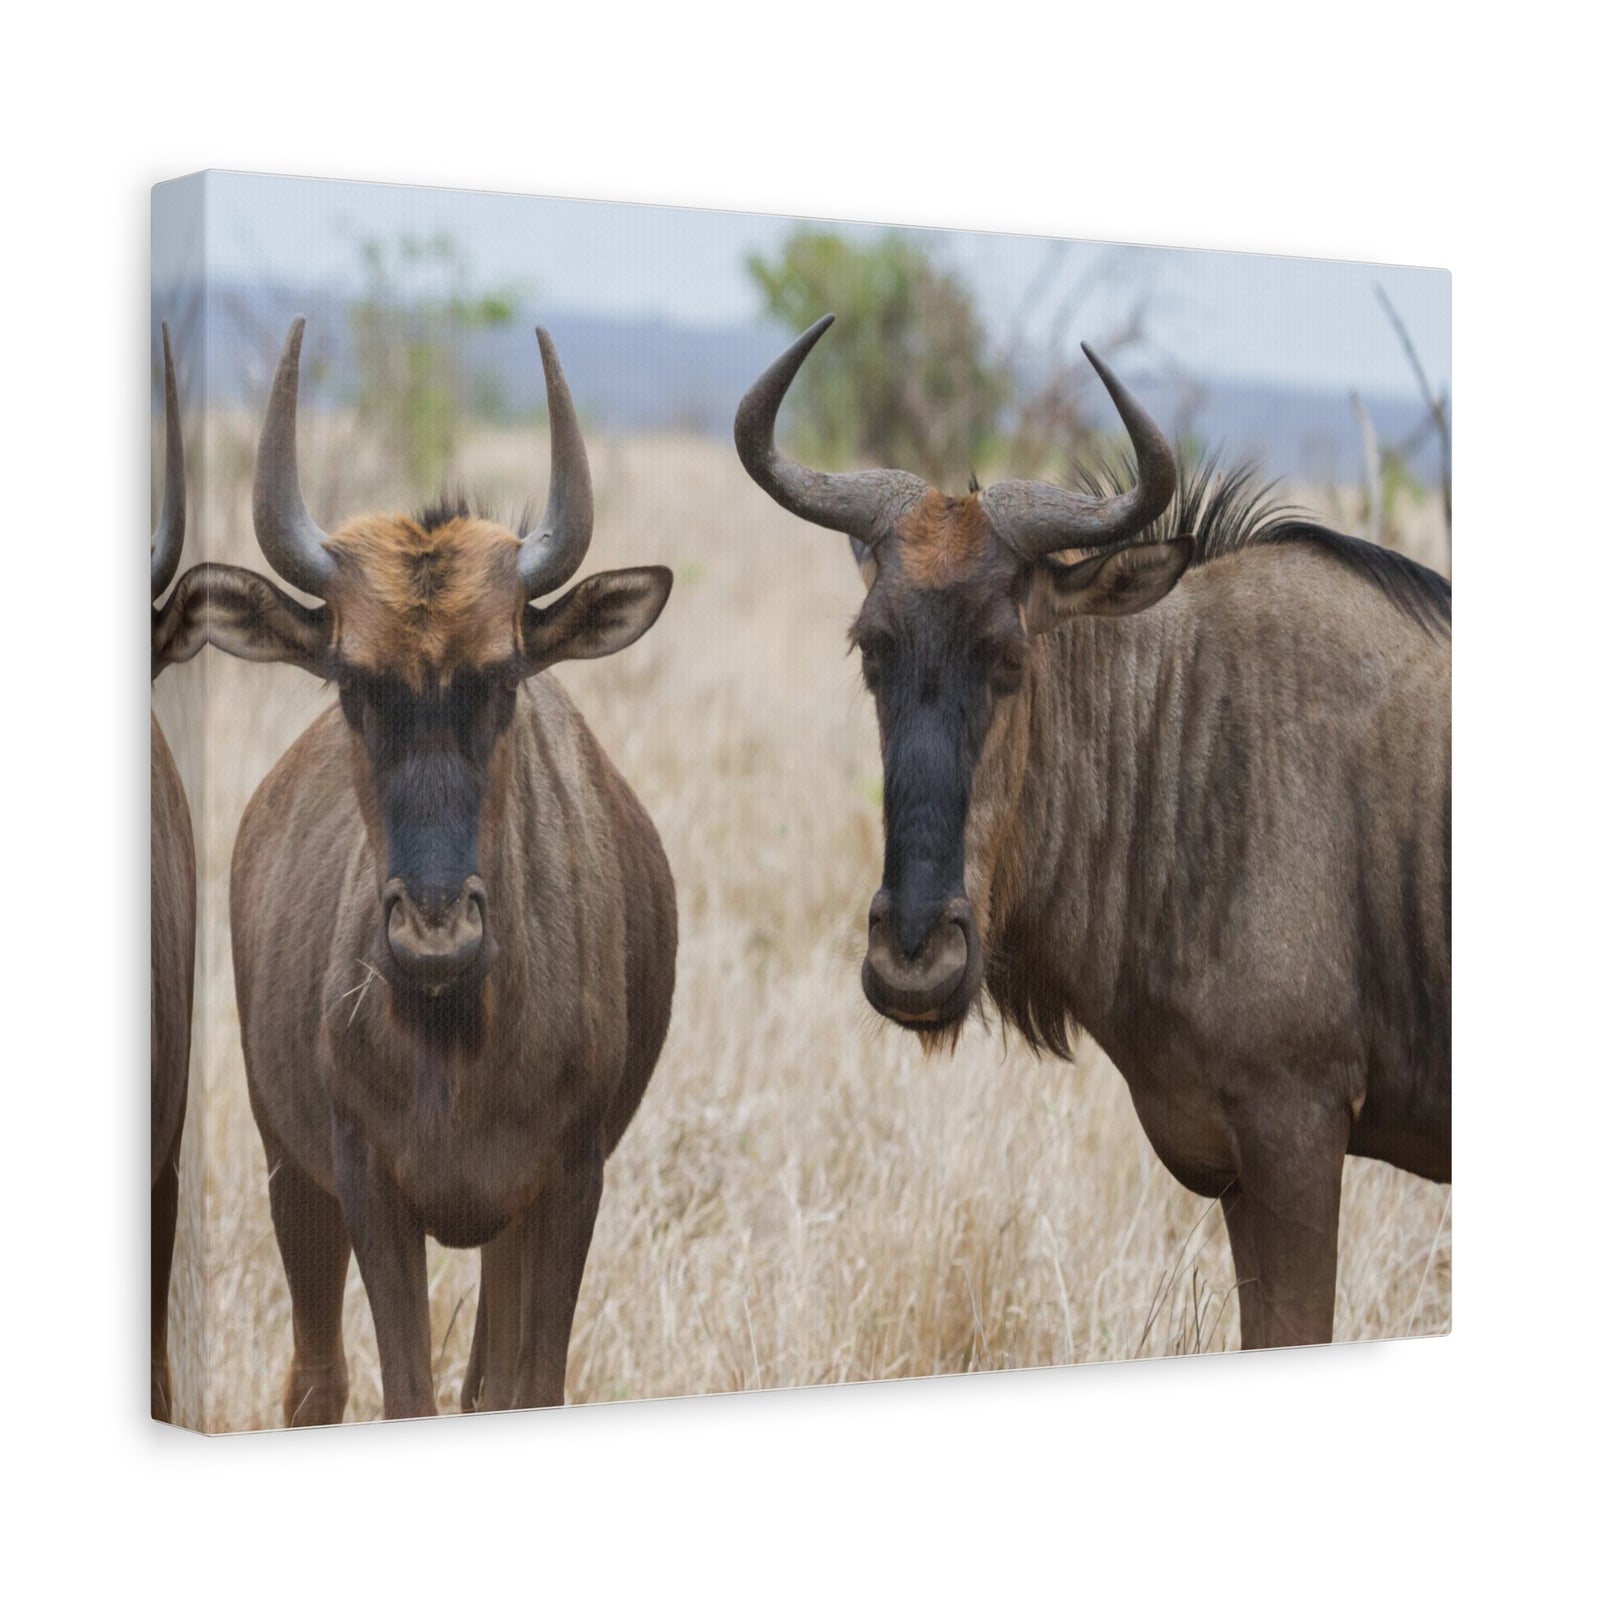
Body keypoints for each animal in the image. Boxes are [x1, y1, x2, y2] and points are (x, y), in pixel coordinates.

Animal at [166, 319, 676, 1420]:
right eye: (354, 681)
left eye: (505, 675)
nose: (435, 934)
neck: (458, 1034)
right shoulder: (366, 1186)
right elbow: (404, 1390)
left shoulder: (566, 1186)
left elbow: (524, 1386)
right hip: (290, 1176)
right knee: (316, 1382)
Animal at [736, 315, 1449, 1350]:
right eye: (872, 648)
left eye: (1007, 653)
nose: (914, 959)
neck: (1195, 741)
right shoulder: (1243, 1168)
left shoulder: (1298, 1135)